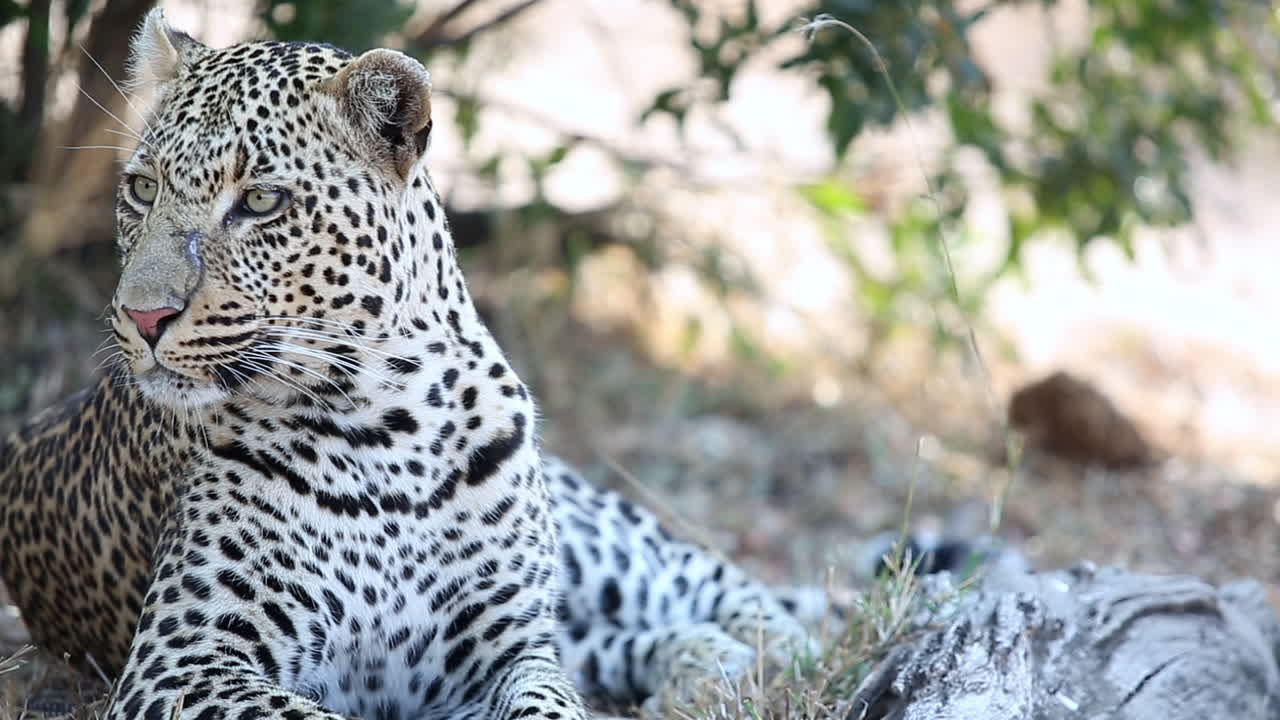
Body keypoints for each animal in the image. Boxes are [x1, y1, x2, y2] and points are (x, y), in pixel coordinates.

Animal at [0, 9, 820, 719]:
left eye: (261, 202)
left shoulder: (511, 653)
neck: (390, 419)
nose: (141, 318)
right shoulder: (185, 663)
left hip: (595, 541)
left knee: (706, 578)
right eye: (142, 189)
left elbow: (551, 699)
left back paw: (770, 650)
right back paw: (705, 660)